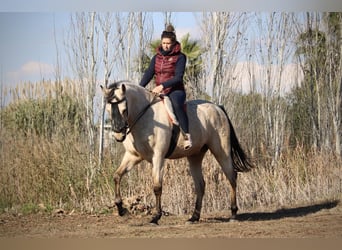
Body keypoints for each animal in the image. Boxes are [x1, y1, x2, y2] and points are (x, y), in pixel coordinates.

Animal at [100, 81, 252, 225]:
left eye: (124, 110)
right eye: (108, 110)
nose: (118, 135)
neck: (145, 117)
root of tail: (218, 108)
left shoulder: (158, 157)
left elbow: (157, 187)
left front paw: (156, 217)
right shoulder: (133, 156)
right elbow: (117, 176)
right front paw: (121, 209)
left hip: (221, 151)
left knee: (231, 177)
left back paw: (233, 214)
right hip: (195, 156)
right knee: (200, 185)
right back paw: (194, 217)